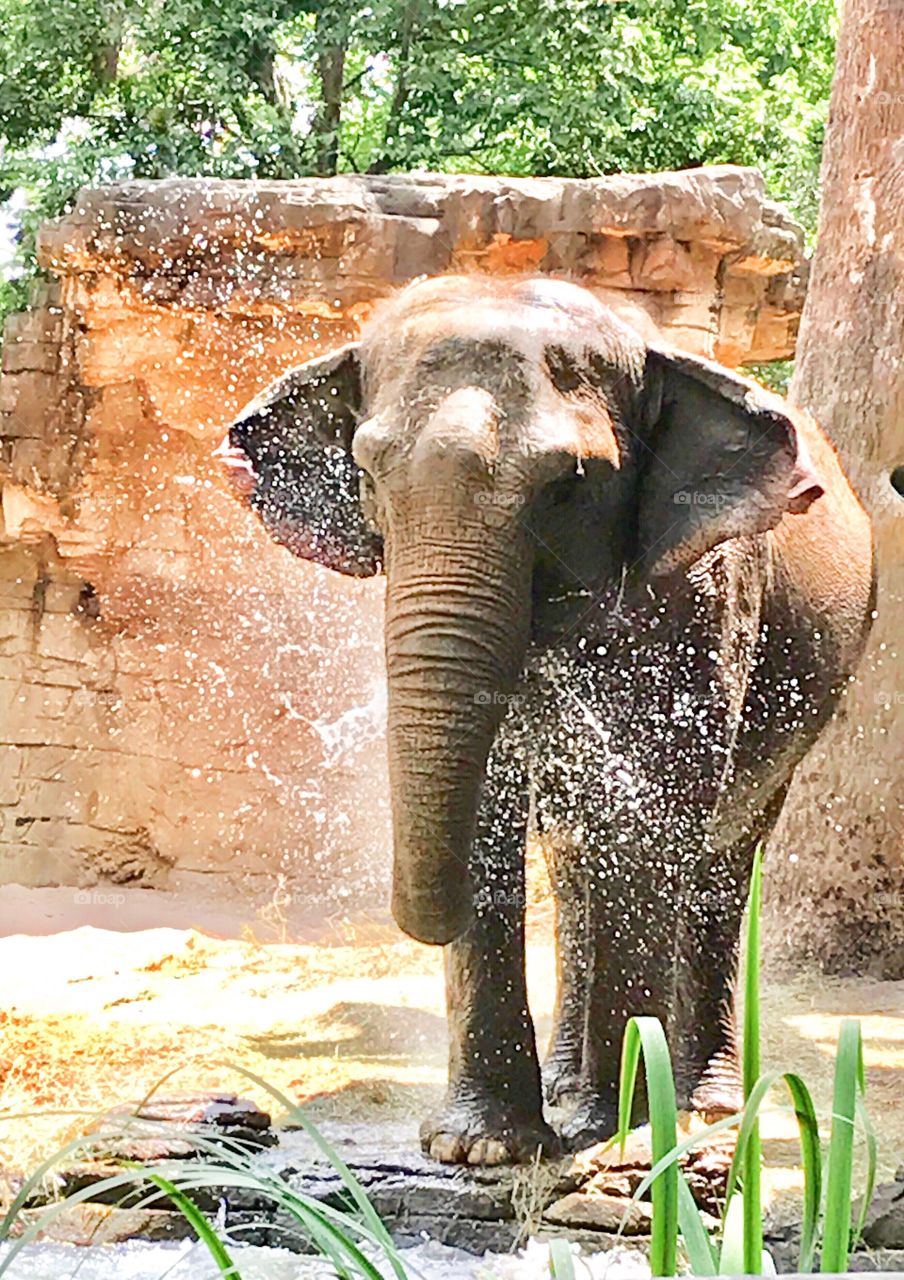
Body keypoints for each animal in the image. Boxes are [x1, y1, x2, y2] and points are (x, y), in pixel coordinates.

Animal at [218, 274, 874, 1165]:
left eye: (570, 483)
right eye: (368, 474)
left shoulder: (707, 595)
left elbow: (651, 815)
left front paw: (615, 1134)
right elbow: (498, 809)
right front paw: (480, 1148)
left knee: (723, 857)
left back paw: (699, 1102)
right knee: (571, 859)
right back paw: (568, 1082)